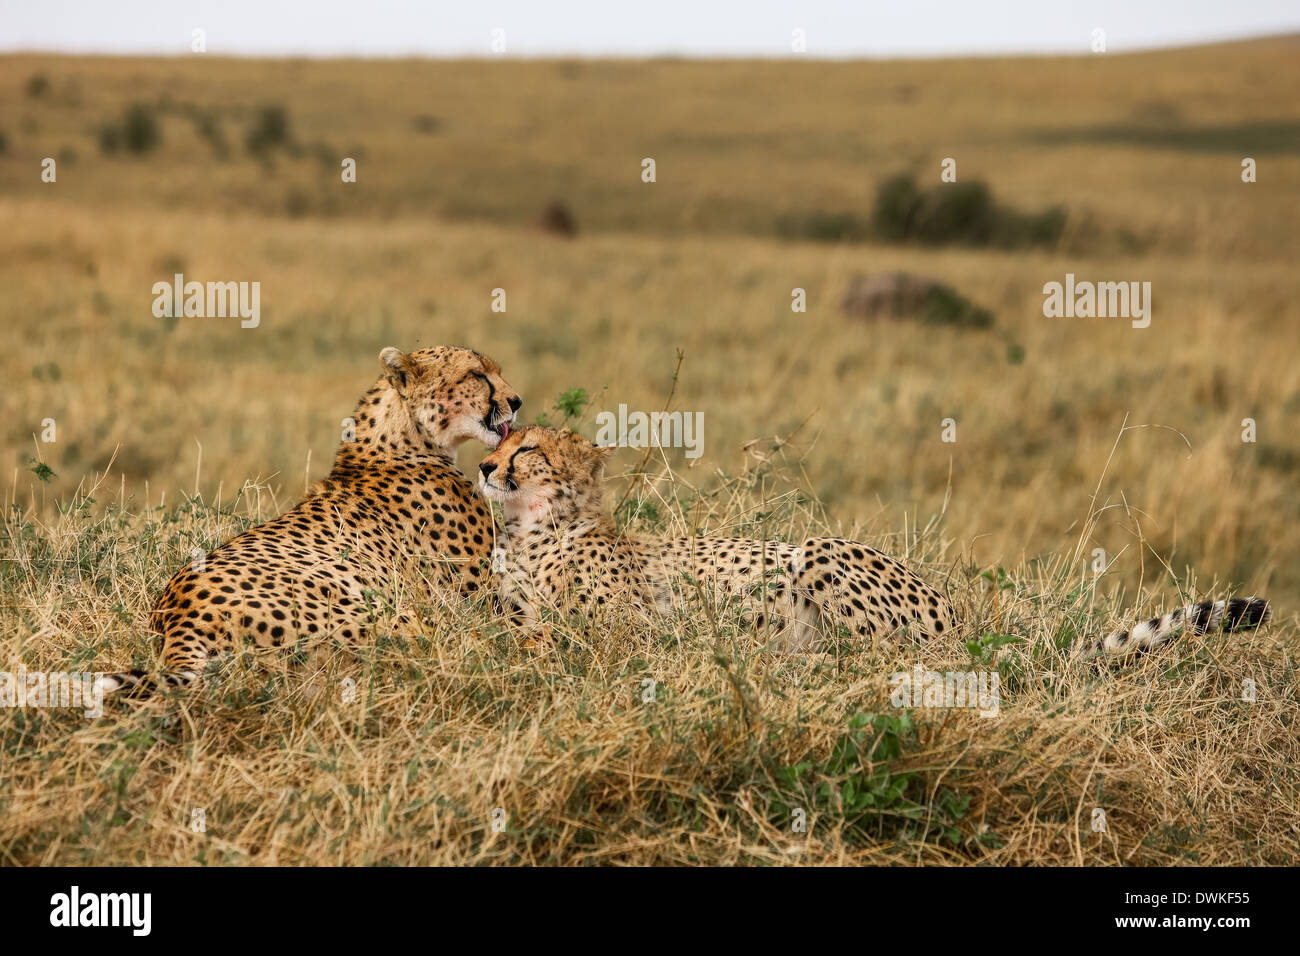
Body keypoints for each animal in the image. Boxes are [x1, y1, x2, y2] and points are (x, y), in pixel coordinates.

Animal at [103, 345, 520, 695]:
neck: (402, 437)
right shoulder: (486, 596)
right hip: (392, 616)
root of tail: (179, 616)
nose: (516, 401)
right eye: (477, 375)